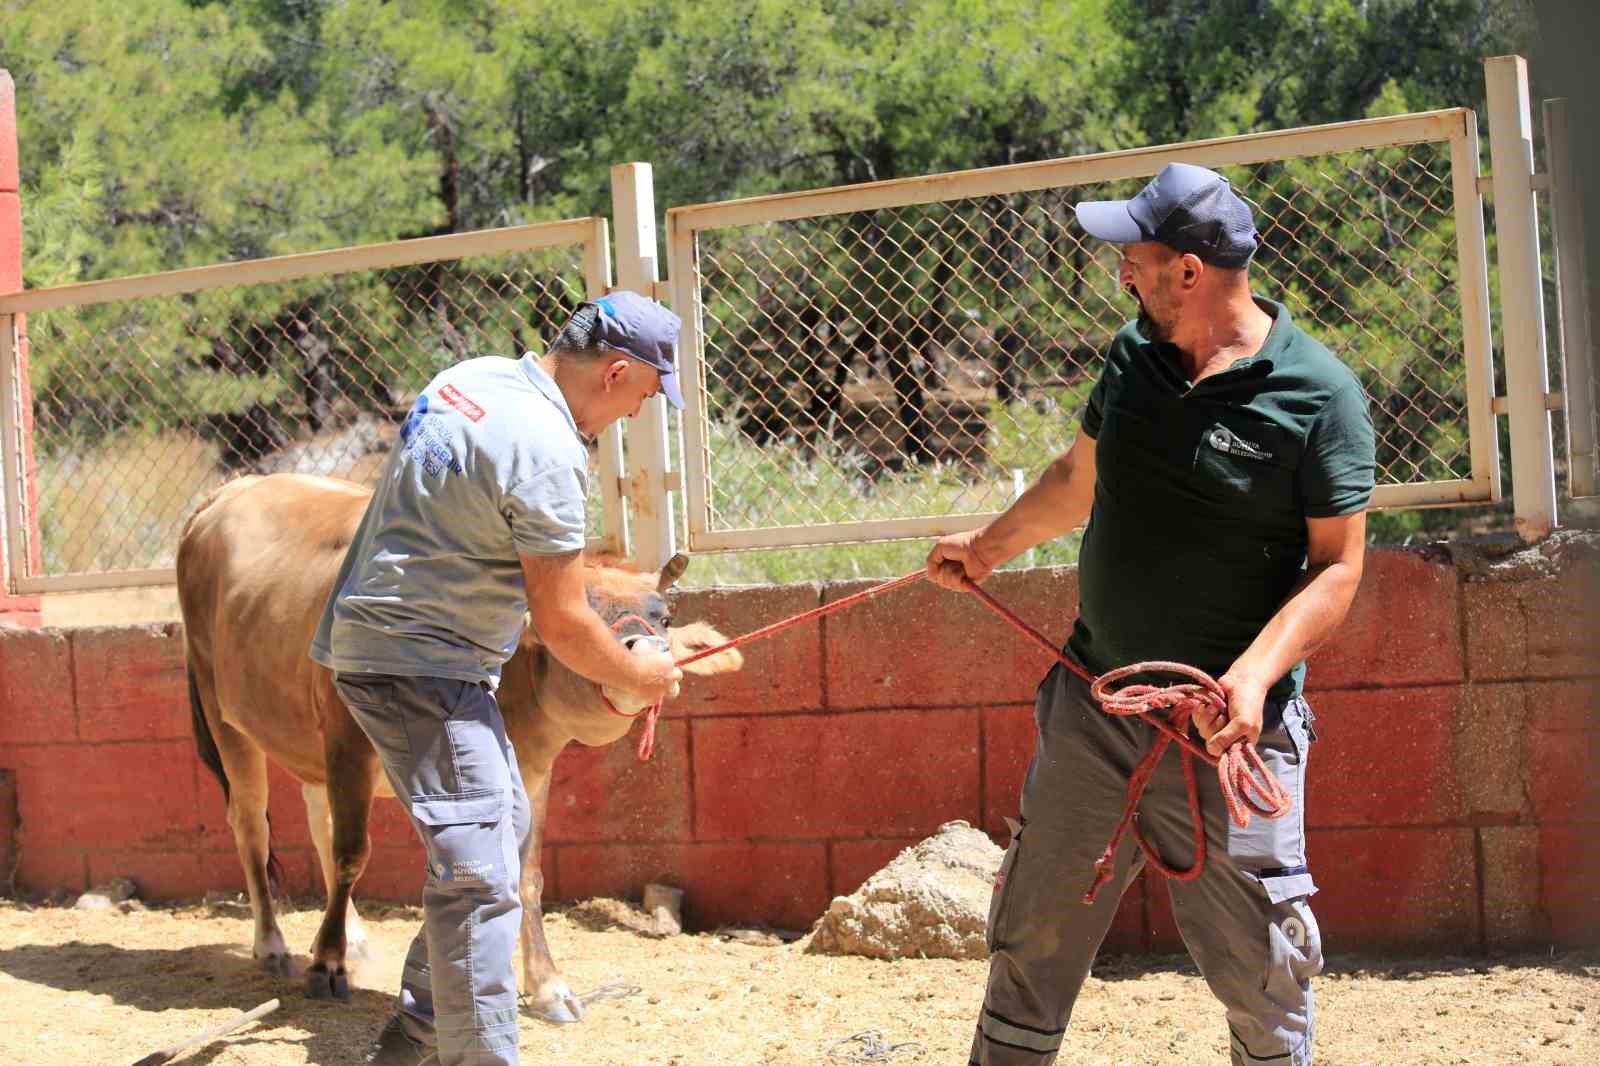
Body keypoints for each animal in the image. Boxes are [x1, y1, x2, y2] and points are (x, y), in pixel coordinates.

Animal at [176, 473, 742, 1024]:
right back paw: (274, 943)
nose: (651, 658)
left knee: (318, 821)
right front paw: (327, 965)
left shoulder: (532, 768)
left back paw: (351, 937)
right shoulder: (348, 743)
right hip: (225, 714)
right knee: (253, 825)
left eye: (663, 617)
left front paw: (547, 986)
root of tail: (227, 490)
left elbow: (527, 874)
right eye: (583, 617)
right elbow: (351, 854)